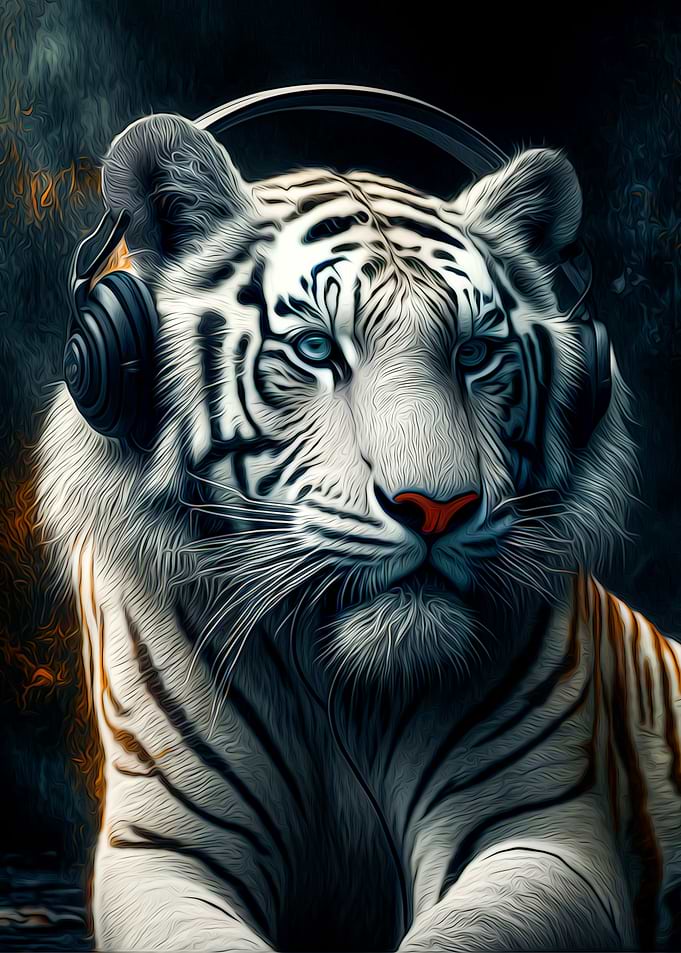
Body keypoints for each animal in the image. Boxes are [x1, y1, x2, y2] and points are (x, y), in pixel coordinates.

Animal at [37, 112, 681, 952]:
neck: (342, 693)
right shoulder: (165, 848)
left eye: (474, 353)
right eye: (316, 349)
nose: (437, 509)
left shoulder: (539, 835)